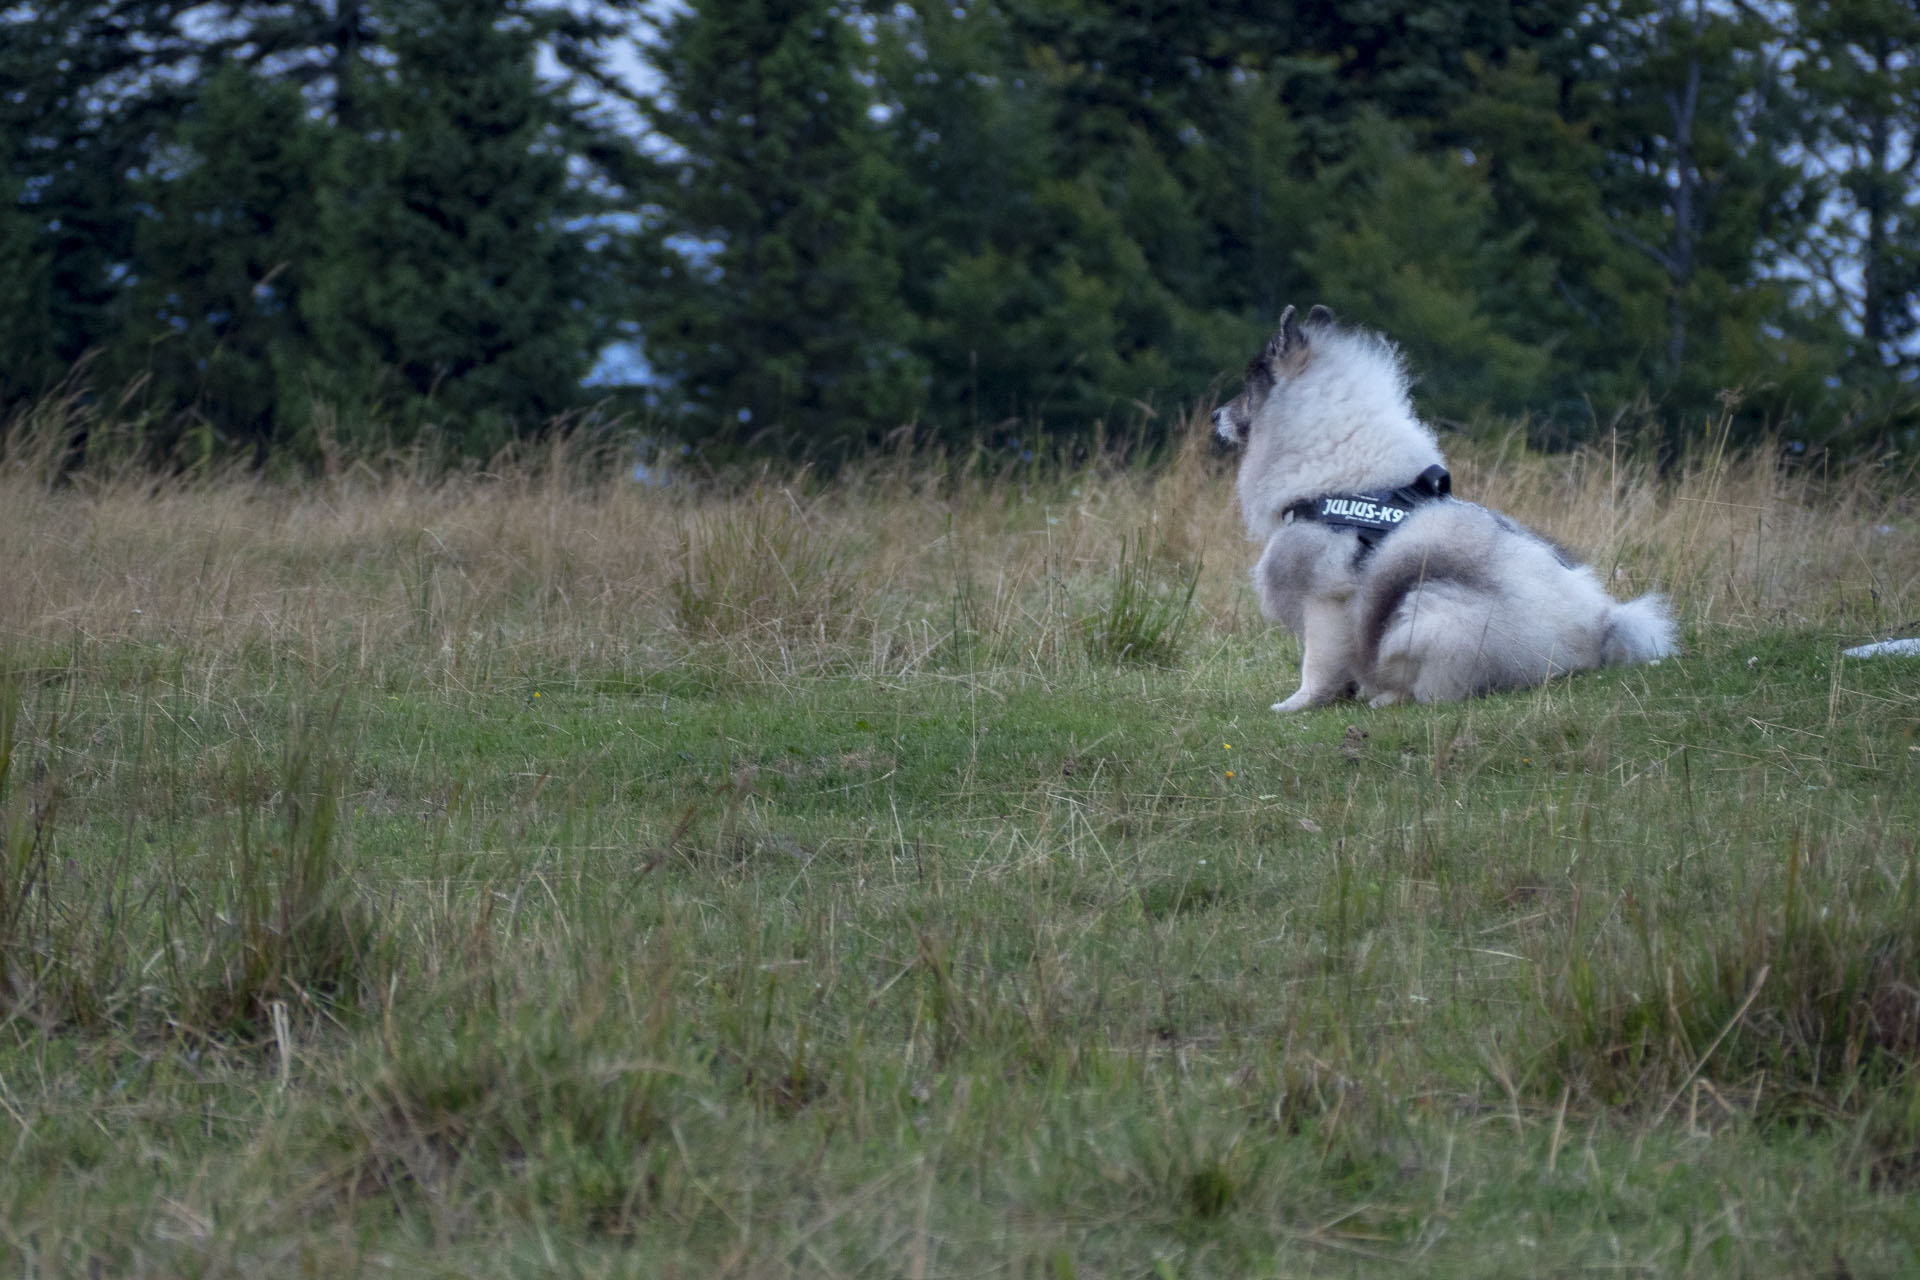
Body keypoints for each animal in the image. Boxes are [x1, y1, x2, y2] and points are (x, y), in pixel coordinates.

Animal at [1213, 307, 1681, 717]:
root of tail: (1600, 631)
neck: (1345, 481)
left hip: (1427, 611)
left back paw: (1389, 697)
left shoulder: (1324, 601)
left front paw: (1299, 705)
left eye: (1248, 390)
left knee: (1436, 690)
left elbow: (1317, 667)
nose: (1216, 414)